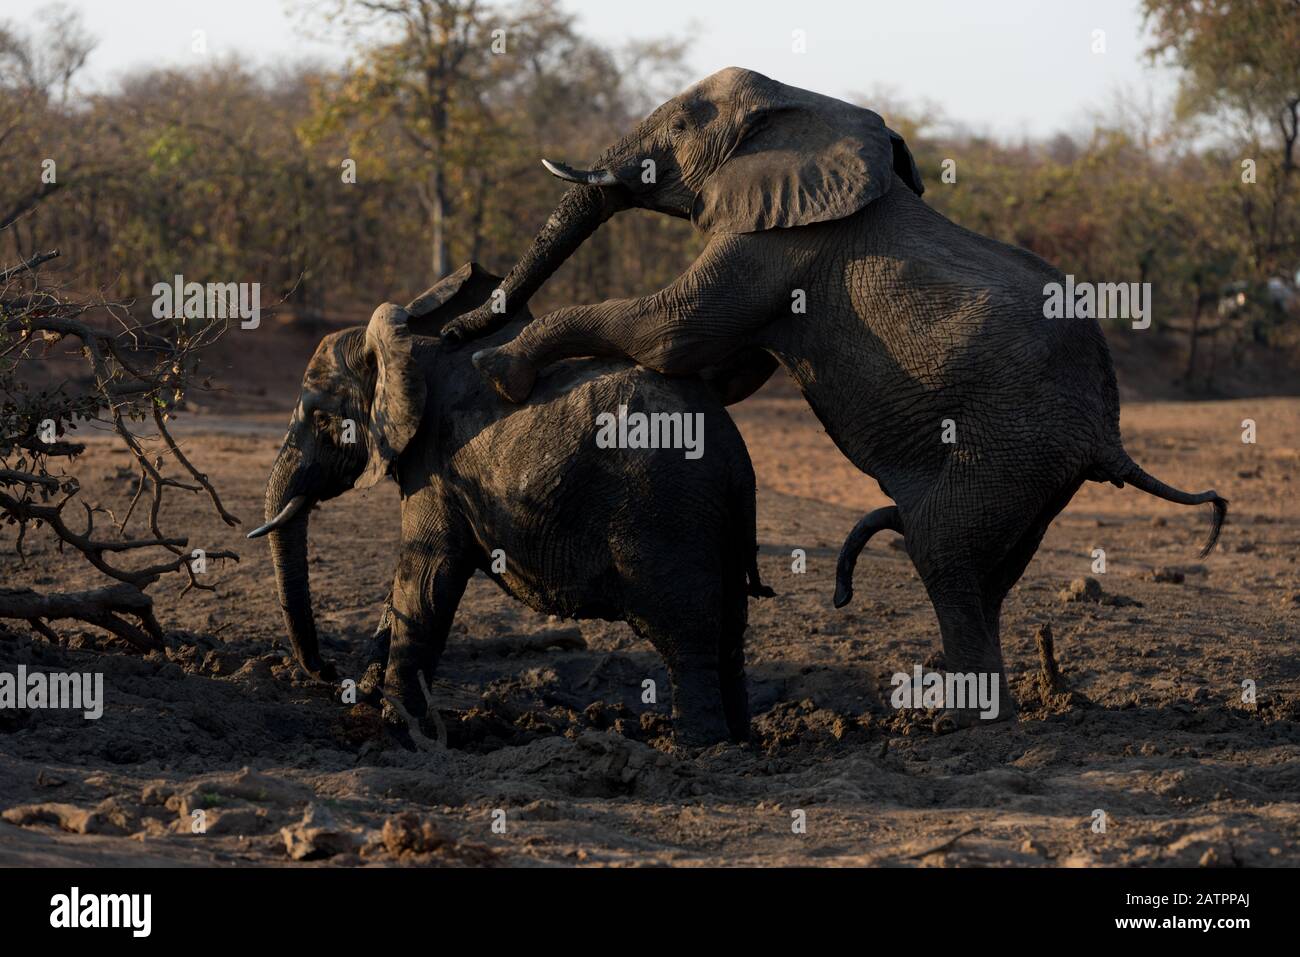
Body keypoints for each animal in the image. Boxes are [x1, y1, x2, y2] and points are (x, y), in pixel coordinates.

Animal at [246, 263, 769, 748]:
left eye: (321, 418)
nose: (328, 672)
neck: (405, 346)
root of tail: (732, 452)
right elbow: (406, 588)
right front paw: (367, 701)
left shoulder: (435, 464)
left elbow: (426, 577)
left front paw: (401, 727)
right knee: (730, 630)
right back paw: (741, 741)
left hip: (665, 512)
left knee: (687, 634)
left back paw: (698, 747)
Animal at [436, 67, 1227, 722]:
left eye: (685, 125)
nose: (451, 324)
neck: (805, 104)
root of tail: (1109, 431)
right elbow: (722, 367)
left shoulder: (777, 243)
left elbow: (669, 332)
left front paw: (498, 367)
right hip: (1039, 470)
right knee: (989, 573)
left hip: (1011, 444)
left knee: (945, 554)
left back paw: (963, 722)